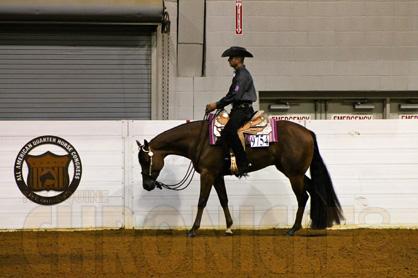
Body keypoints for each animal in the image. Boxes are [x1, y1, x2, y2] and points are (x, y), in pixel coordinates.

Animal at [137, 117, 342, 237]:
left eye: (145, 160)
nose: (147, 185)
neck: (200, 140)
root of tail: (307, 132)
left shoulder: (208, 174)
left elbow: (202, 201)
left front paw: (193, 230)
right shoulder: (216, 175)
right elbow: (224, 199)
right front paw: (229, 227)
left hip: (294, 174)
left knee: (303, 197)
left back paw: (293, 229)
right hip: (294, 172)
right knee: (313, 191)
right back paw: (318, 222)